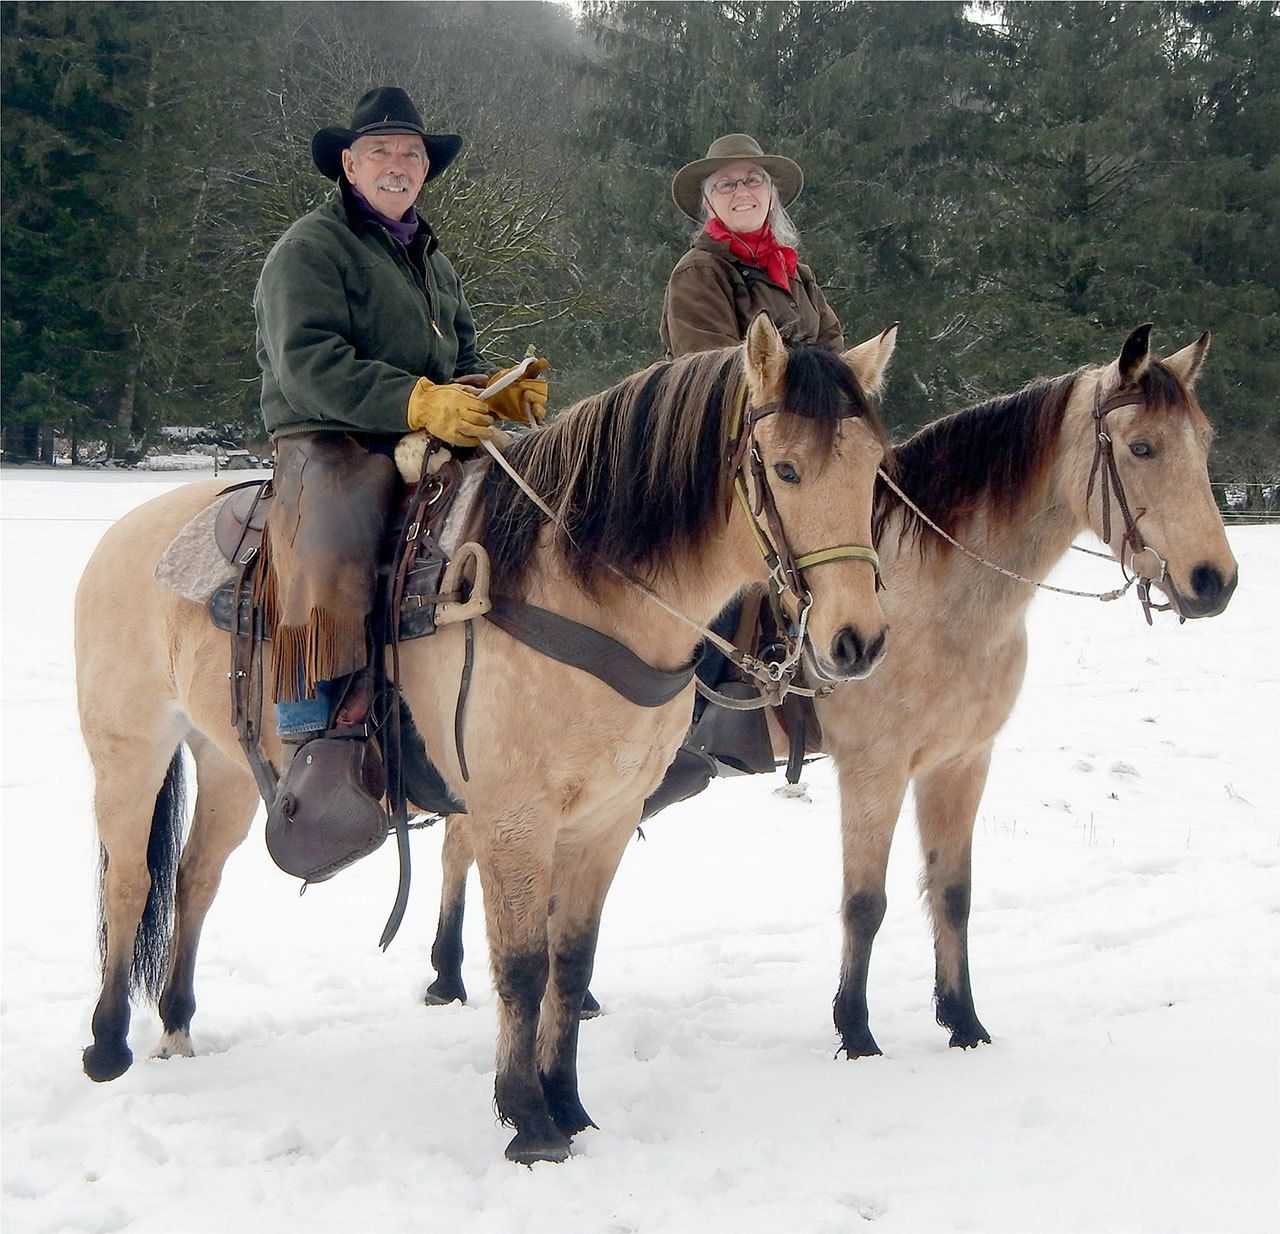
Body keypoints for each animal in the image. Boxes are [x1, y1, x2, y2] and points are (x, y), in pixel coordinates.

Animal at [77, 313, 901, 1162]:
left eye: (876, 468)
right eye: (786, 469)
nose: (857, 641)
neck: (581, 589)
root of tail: (129, 532)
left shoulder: (605, 818)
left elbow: (571, 961)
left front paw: (568, 1102)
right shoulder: (515, 816)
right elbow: (522, 965)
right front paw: (527, 1120)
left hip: (229, 763)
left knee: (195, 877)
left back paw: (176, 1023)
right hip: (129, 749)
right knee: (129, 881)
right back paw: (108, 1044)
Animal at [419, 318, 1239, 1049]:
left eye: (1203, 443)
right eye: (1140, 446)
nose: (1215, 581)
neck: (938, 597)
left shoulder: (961, 763)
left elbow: (954, 894)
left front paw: (963, 1022)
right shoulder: (875, 768)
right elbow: (864, 902)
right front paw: (857, 1030)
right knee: (461, 845)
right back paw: (445, 974)